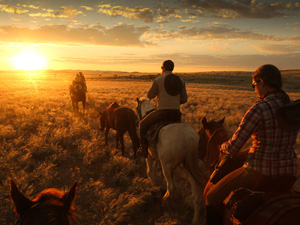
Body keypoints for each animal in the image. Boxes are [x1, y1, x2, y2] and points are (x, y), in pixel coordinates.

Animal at [135, 97, 206, 225]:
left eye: (135, 108)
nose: (137, 121)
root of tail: (188, 137)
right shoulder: (156, 157)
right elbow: (154, 170)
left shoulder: (149, 155)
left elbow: (150, 172)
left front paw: (153, 188)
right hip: (191, 167)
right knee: (196, 196)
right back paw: (195, 220)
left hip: (167, 167)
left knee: (171, 186)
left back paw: (164, 201)